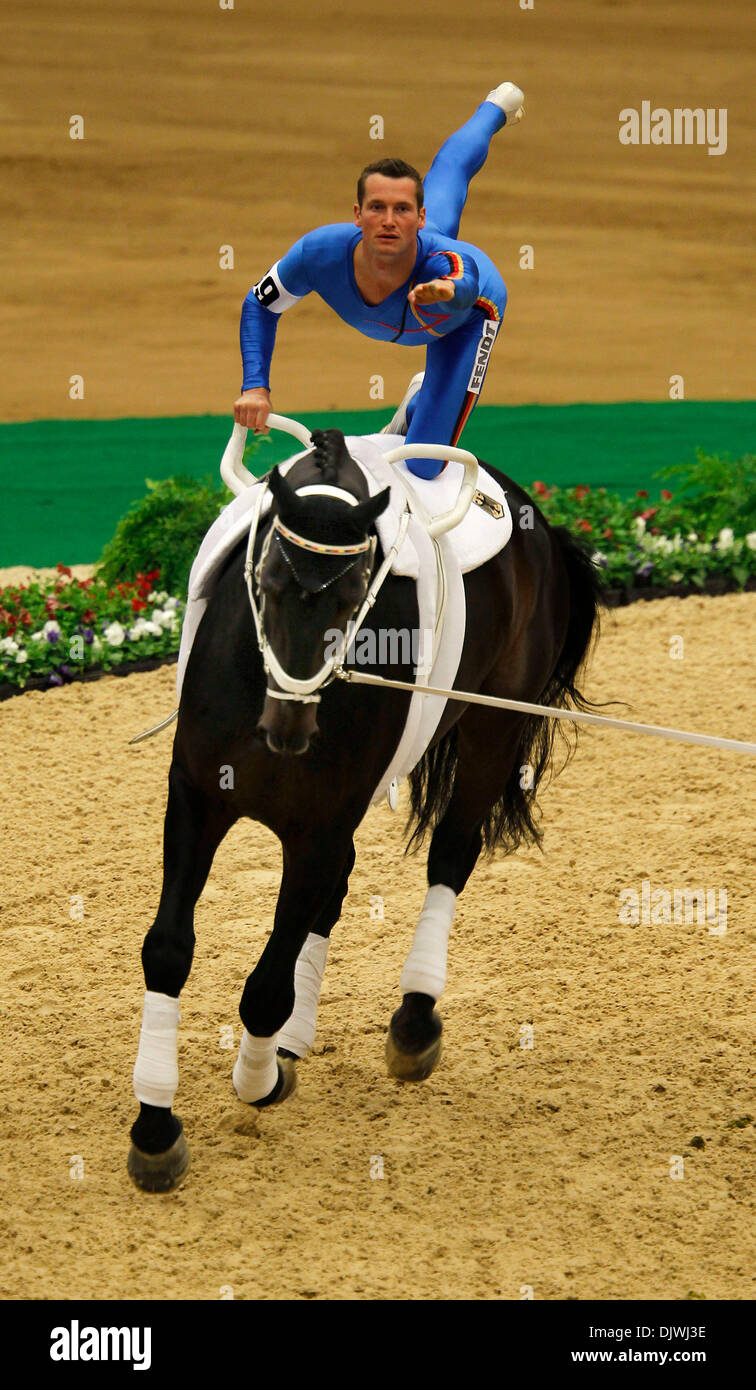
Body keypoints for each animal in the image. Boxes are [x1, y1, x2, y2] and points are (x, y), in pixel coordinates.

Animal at [127, 427, 602, 1191]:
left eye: (355, 597)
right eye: (268, 580)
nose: (289, 729)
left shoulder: (316, 828)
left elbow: (265, 987)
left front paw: (257, 1082)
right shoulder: (197, 800)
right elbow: (169, 949)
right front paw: (154, 1127)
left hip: (493, 727)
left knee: (451, 854)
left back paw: (413, 1021)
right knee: (341, 888)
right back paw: (294, 1041)